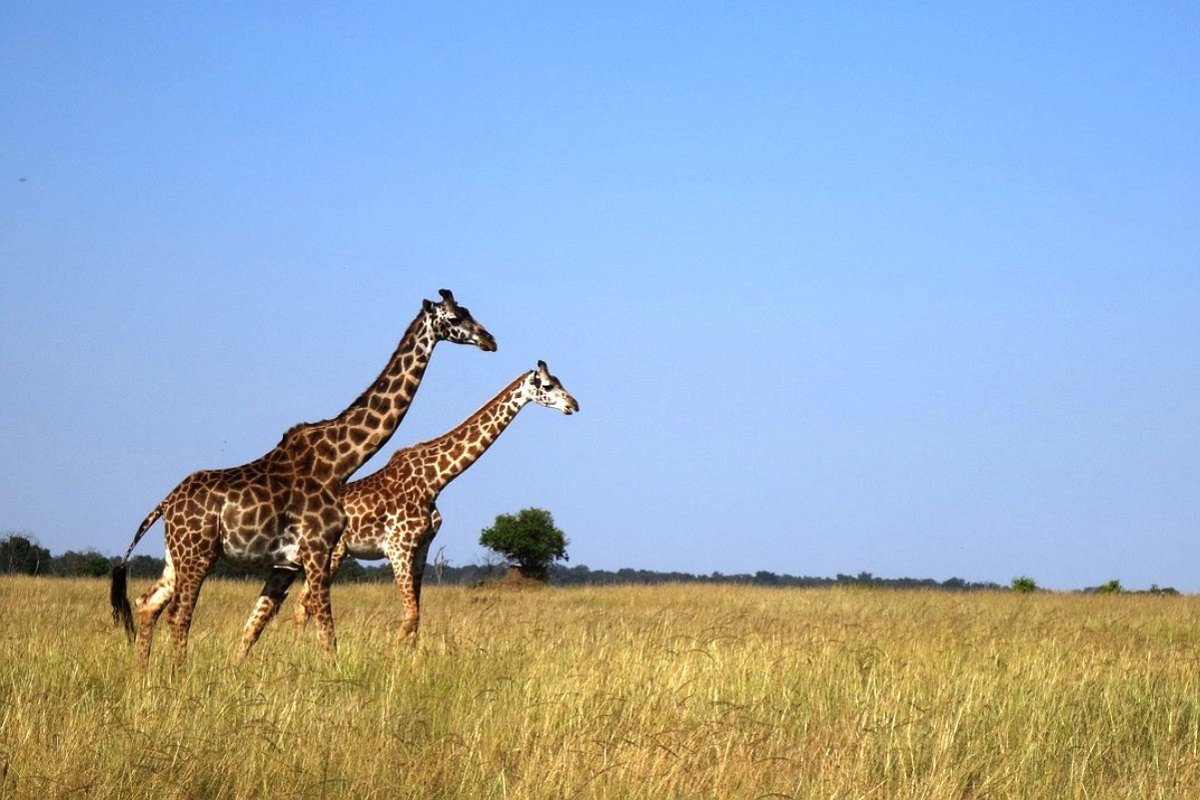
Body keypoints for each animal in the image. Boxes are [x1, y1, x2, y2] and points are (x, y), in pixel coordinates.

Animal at [106, 287, 492, 662]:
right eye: (454, 318)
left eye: (469, 310)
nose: (490, 340)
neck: (340, 461)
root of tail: (165, 504)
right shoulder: (318, 549)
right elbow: (327, 632)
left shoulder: (288, 563)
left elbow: (257, 624)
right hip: (197, 553)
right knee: (179, 614)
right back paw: (178, 675)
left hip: (176, 557)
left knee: (148, 603)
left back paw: (143, 675)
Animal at [292, 359, 578, 642]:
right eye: (548, 385)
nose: (574, 405)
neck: (435, 481)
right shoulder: (398, 547)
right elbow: (411, 614)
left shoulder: (422, 547)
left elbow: (416, 616)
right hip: (334, 552)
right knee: (308, 602)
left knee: (302, 603)